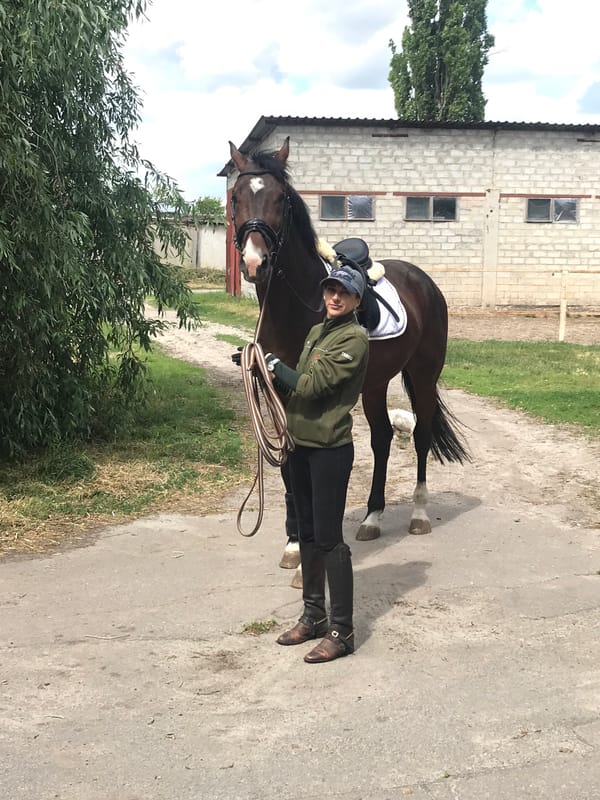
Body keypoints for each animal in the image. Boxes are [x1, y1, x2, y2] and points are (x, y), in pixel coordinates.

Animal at [228, 136, 469, 551]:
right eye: (235, 197)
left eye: (282, 199)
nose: (255, 262)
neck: (300, 306)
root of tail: (423, 280)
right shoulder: (280, 395)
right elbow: (289, 464)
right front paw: (295, 542)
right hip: (374, 383)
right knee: (383, 438)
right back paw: (373, 517)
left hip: (423, 375)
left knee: (420, 435)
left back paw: (419, 514)